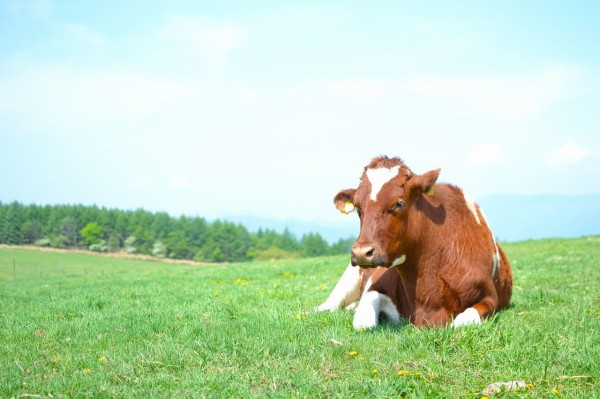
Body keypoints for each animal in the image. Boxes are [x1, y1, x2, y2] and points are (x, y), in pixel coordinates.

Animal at [316, 155, 512, 328]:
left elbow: (462, 321)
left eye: (399, 203)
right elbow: (363, 322)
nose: (361, 253)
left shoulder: (489, 297)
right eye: (357, 207)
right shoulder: (375, 285)